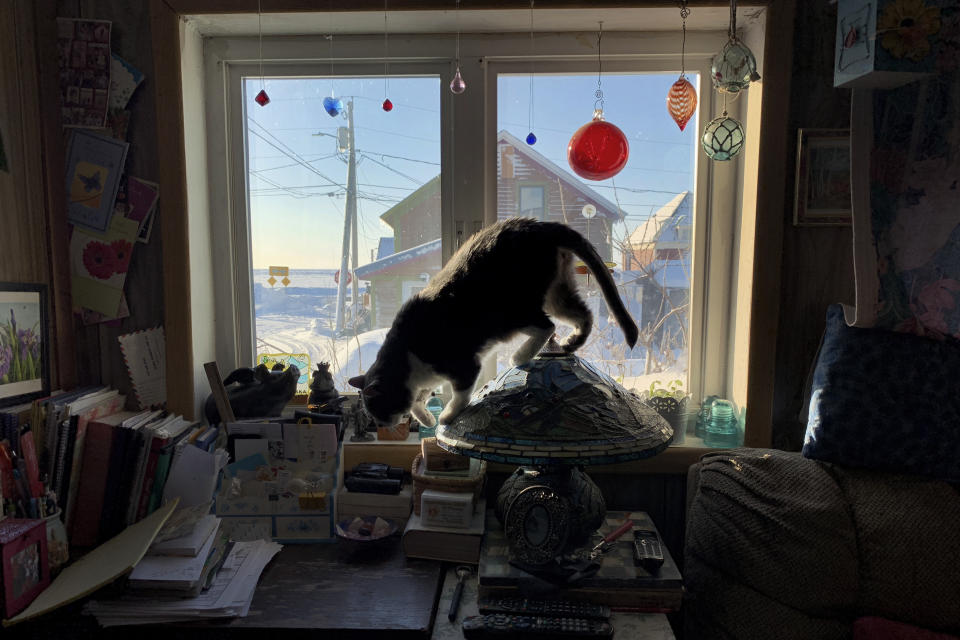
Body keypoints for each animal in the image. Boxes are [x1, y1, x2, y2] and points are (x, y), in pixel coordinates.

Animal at [344, 219, 636, 430]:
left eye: (379, 410)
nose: (382, 426)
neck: (405, 357)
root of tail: (541, 225)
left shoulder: (464, 366)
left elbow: (460, 395)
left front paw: (446, 418)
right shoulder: (424, 381)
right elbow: (418, 402)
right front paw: (425, 418)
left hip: (511, 313)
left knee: (547, 325)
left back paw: (521, 356)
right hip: (557, 293)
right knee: (582, 314)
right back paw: (572, 342)